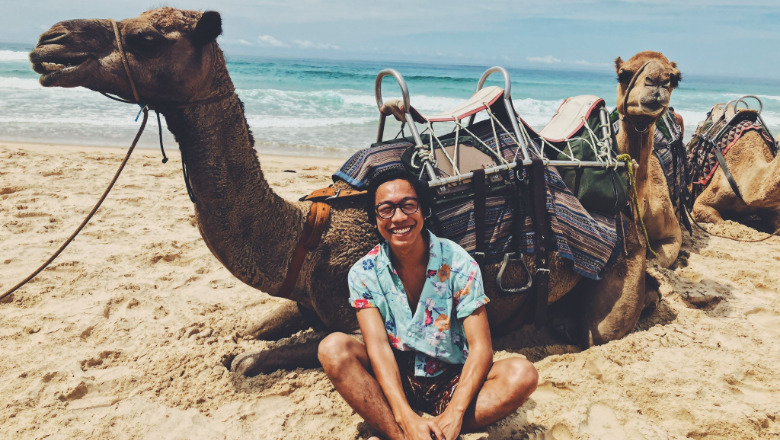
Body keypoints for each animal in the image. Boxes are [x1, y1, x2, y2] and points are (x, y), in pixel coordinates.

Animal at [30, 7, 660, 374]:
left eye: (147, 37)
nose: (49, 42)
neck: (306, 237)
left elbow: (254, 360)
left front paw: (247, 358)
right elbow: (255, 327)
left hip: (622, 261)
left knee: (607, 322)